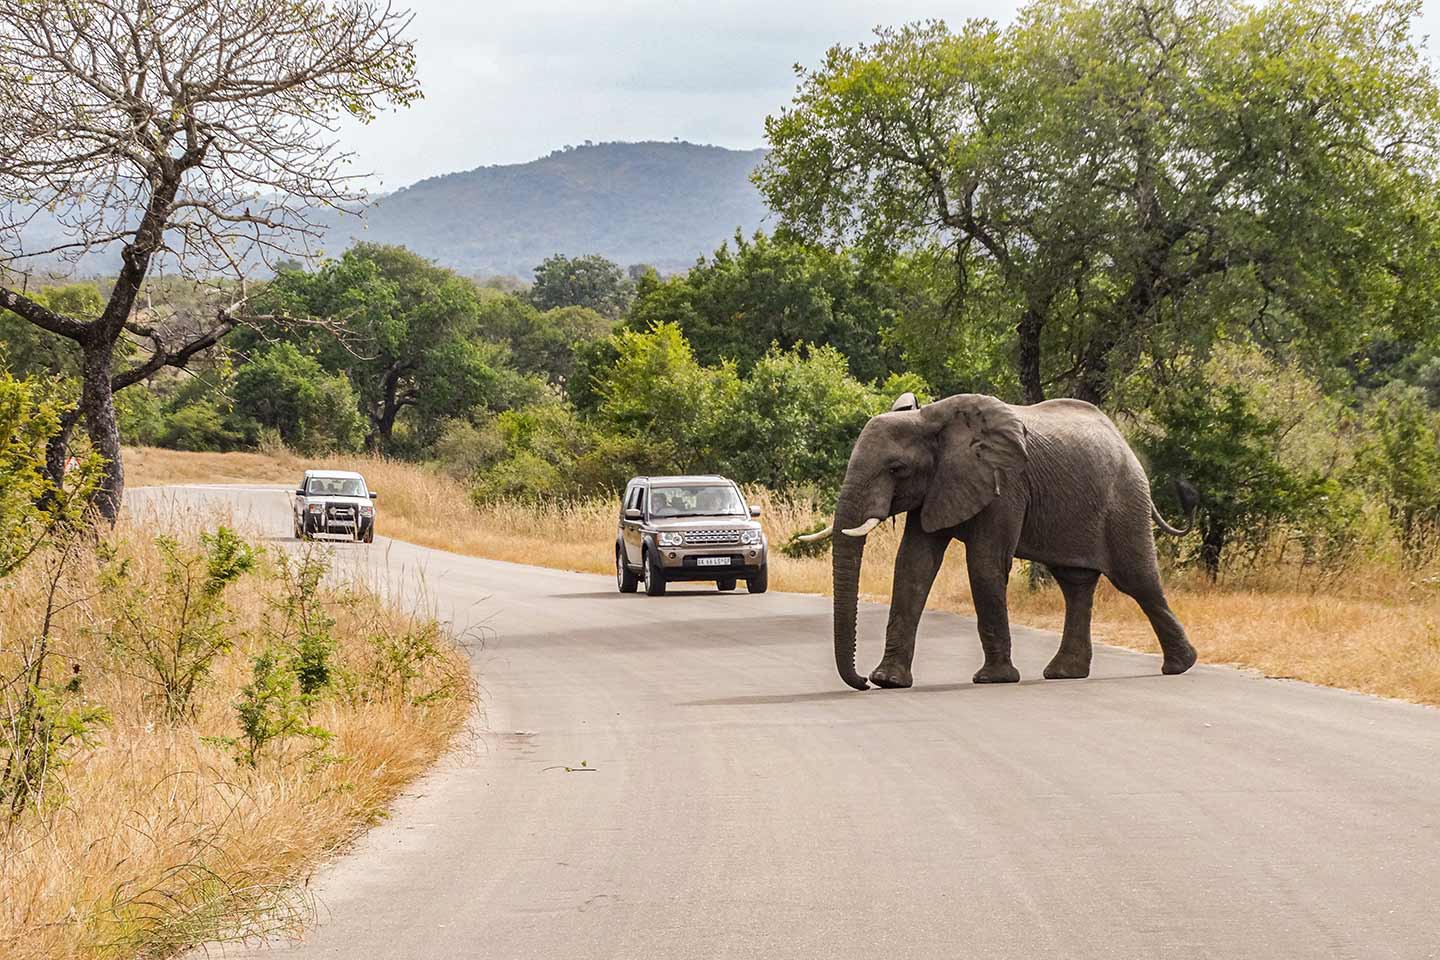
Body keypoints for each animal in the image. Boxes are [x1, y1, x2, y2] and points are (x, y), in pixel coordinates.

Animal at [806, 391, 1198, 690]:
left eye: (896, 469)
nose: (861, 682)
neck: (930, 420)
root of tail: (1125, 444)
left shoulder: (1004, 483)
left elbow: (984, 564)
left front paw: (993, 679)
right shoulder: (937, 487)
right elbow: (913, 566)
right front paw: (888, 681)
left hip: (1125, 501)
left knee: (1137, 580)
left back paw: (1180, 666)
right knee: (1074, 583)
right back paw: (1065, 673)